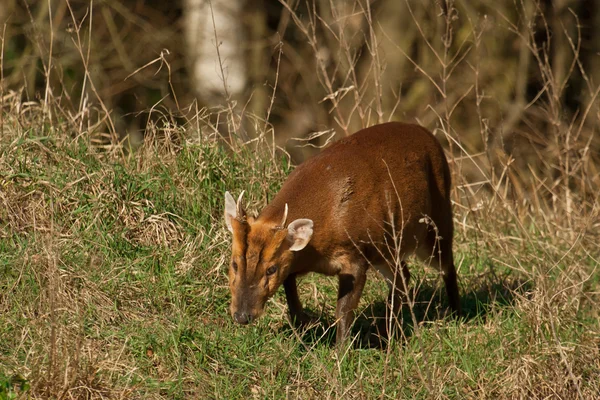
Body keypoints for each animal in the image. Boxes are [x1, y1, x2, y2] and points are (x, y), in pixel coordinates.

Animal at [223, 122, 462, 344]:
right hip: (386, 249)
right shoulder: (301, 258)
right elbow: (289, 280)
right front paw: (304, 321)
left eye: (271, 269)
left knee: (447, 265)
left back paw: (456, 313)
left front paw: (341, 350)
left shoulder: (355, 256)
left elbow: (344, 310)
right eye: (234, 263)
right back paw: (387, 333)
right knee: (402, 277)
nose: (242, 316)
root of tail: (430, 135)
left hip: (437, 220)